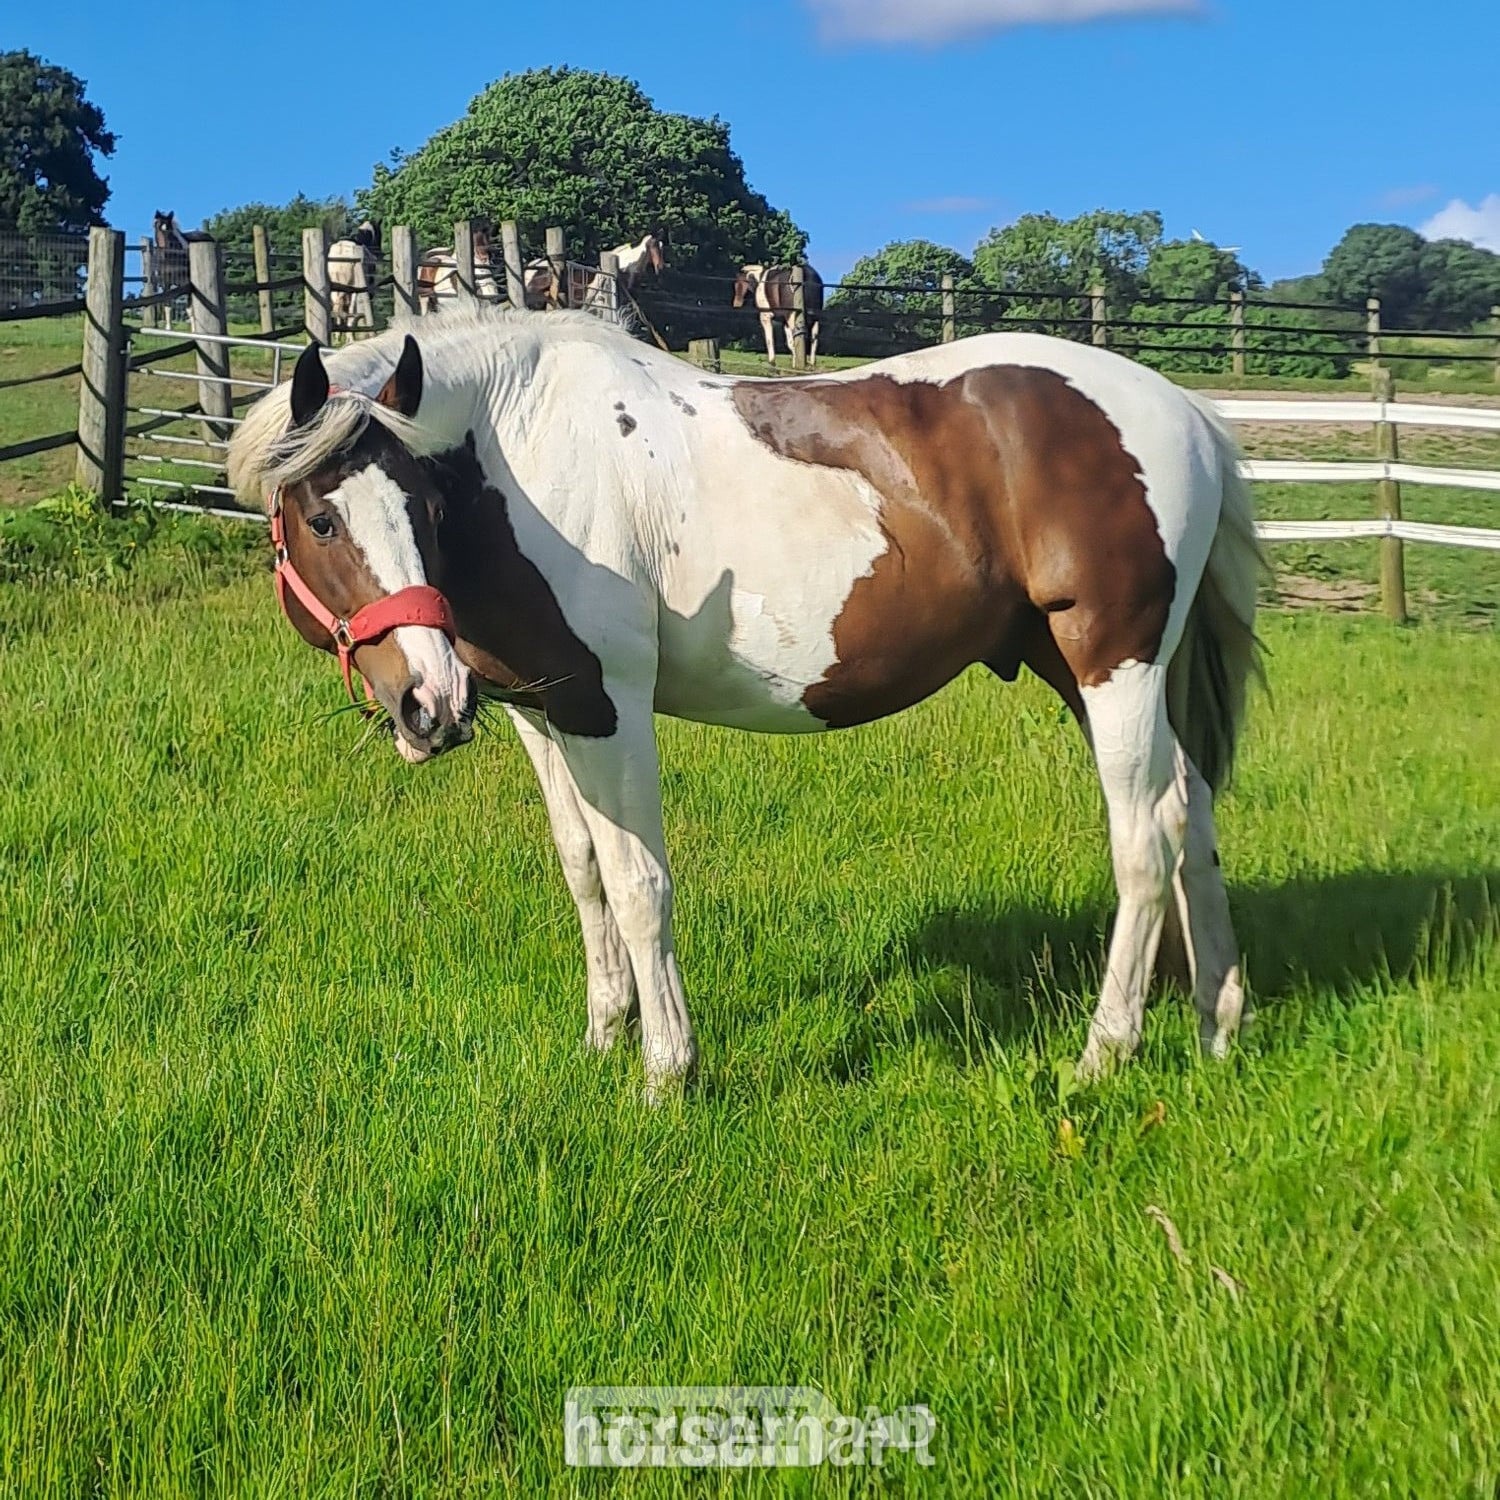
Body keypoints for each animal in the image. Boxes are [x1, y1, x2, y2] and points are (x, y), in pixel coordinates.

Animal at [227, 309, 1262, 1100]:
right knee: (1193, 809)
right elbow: (583, 871)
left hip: (1112, 662)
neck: (523, 457)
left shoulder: (607, 708)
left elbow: (639, 884)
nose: (430, 706)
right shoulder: (542, 712)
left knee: (1145, 836)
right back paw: (1217, 1022)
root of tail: (1185, 412)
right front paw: (604, 1037)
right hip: (1093, 671)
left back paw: (1105, 1051)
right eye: (322, 519)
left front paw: (665, 1073)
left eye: (423, 509)